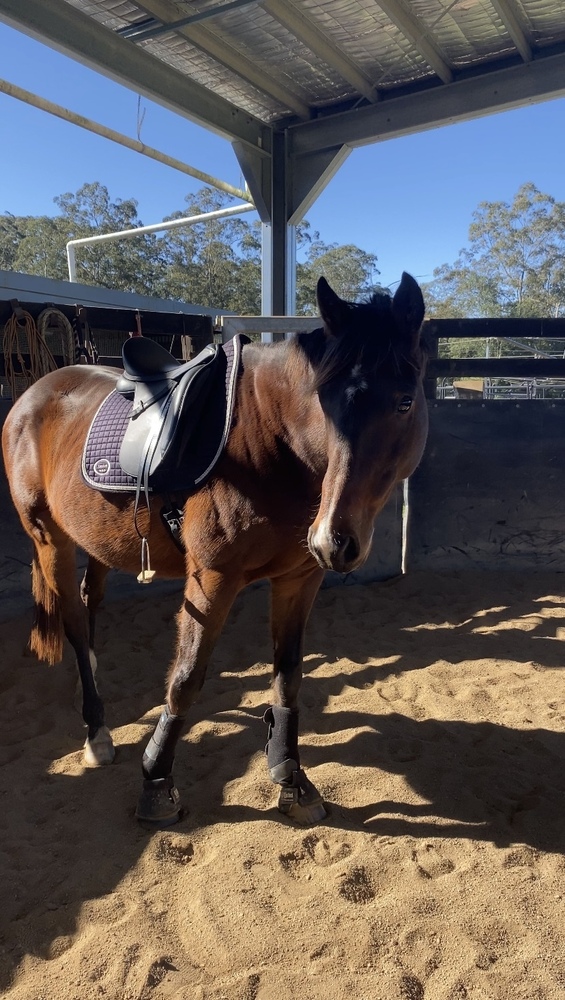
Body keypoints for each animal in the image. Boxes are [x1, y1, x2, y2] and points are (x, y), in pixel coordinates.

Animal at [2, 274, 428, 827]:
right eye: (323, 399)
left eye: (404, 402)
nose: (332, 540)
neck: (270, 442)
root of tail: (34, 393)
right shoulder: (212, 578)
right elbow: (186, 679)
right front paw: (156, 783)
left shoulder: (299, 579)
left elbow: (288, 676)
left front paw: (291, 777)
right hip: (48, 537)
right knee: (74, 620)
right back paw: (96, 732)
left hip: (95, 541)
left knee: (90, 605)